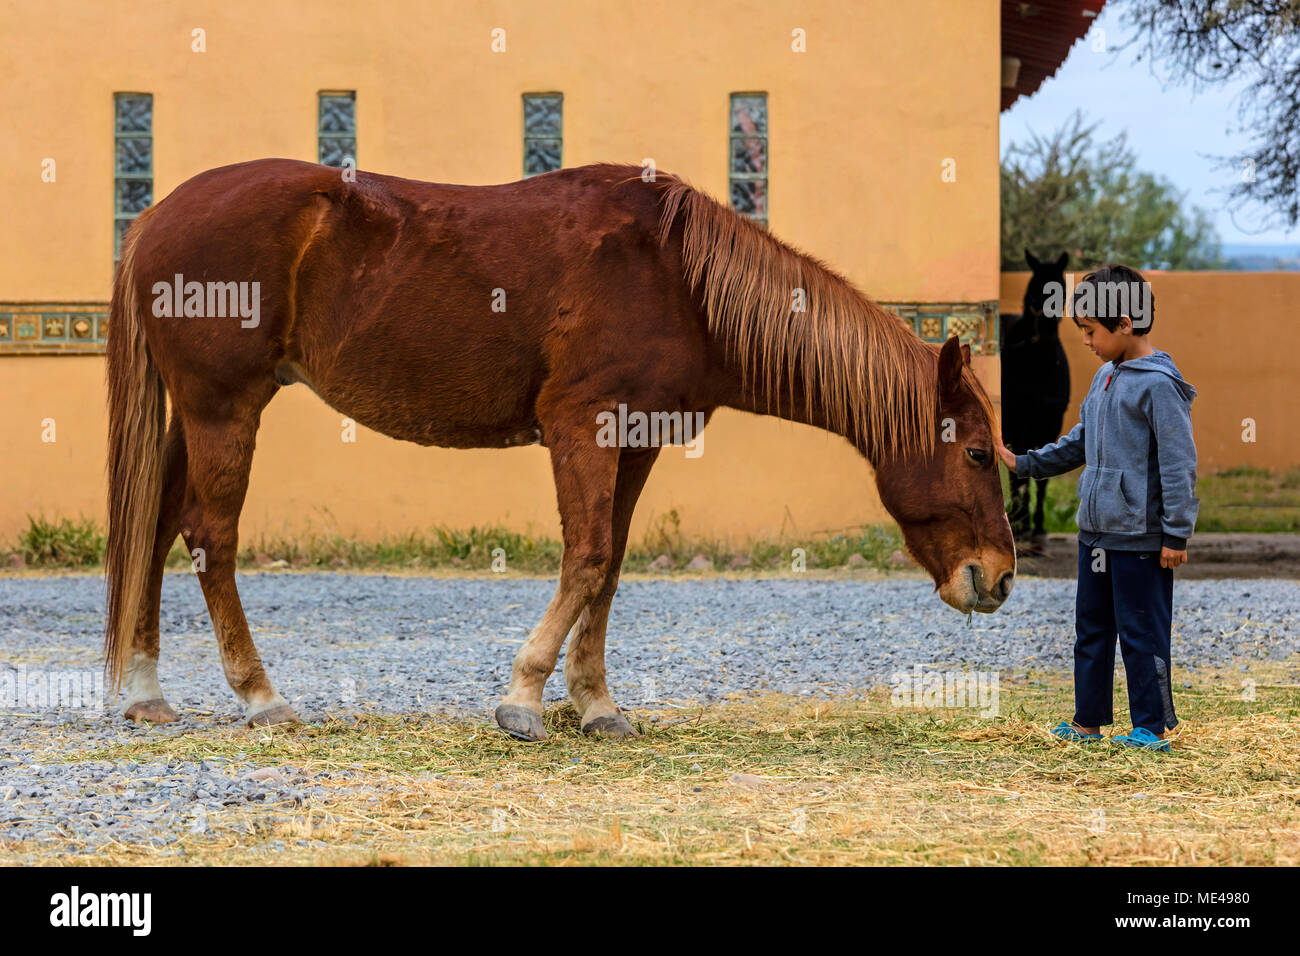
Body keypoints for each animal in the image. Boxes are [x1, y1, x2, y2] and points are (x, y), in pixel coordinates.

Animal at [106, 160, 1013, 738]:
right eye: (975, 454)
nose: (999, 579)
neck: (679, 279)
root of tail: (156, 216)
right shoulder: (584, 426)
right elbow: (585, 556)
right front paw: (524, 698)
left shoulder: (637, 444)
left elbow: (608, 569)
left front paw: (597, 705)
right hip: (225, 410)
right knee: (210, 540)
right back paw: (260, 697)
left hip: (196, 416)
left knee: (156, 528)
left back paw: (146, 692)